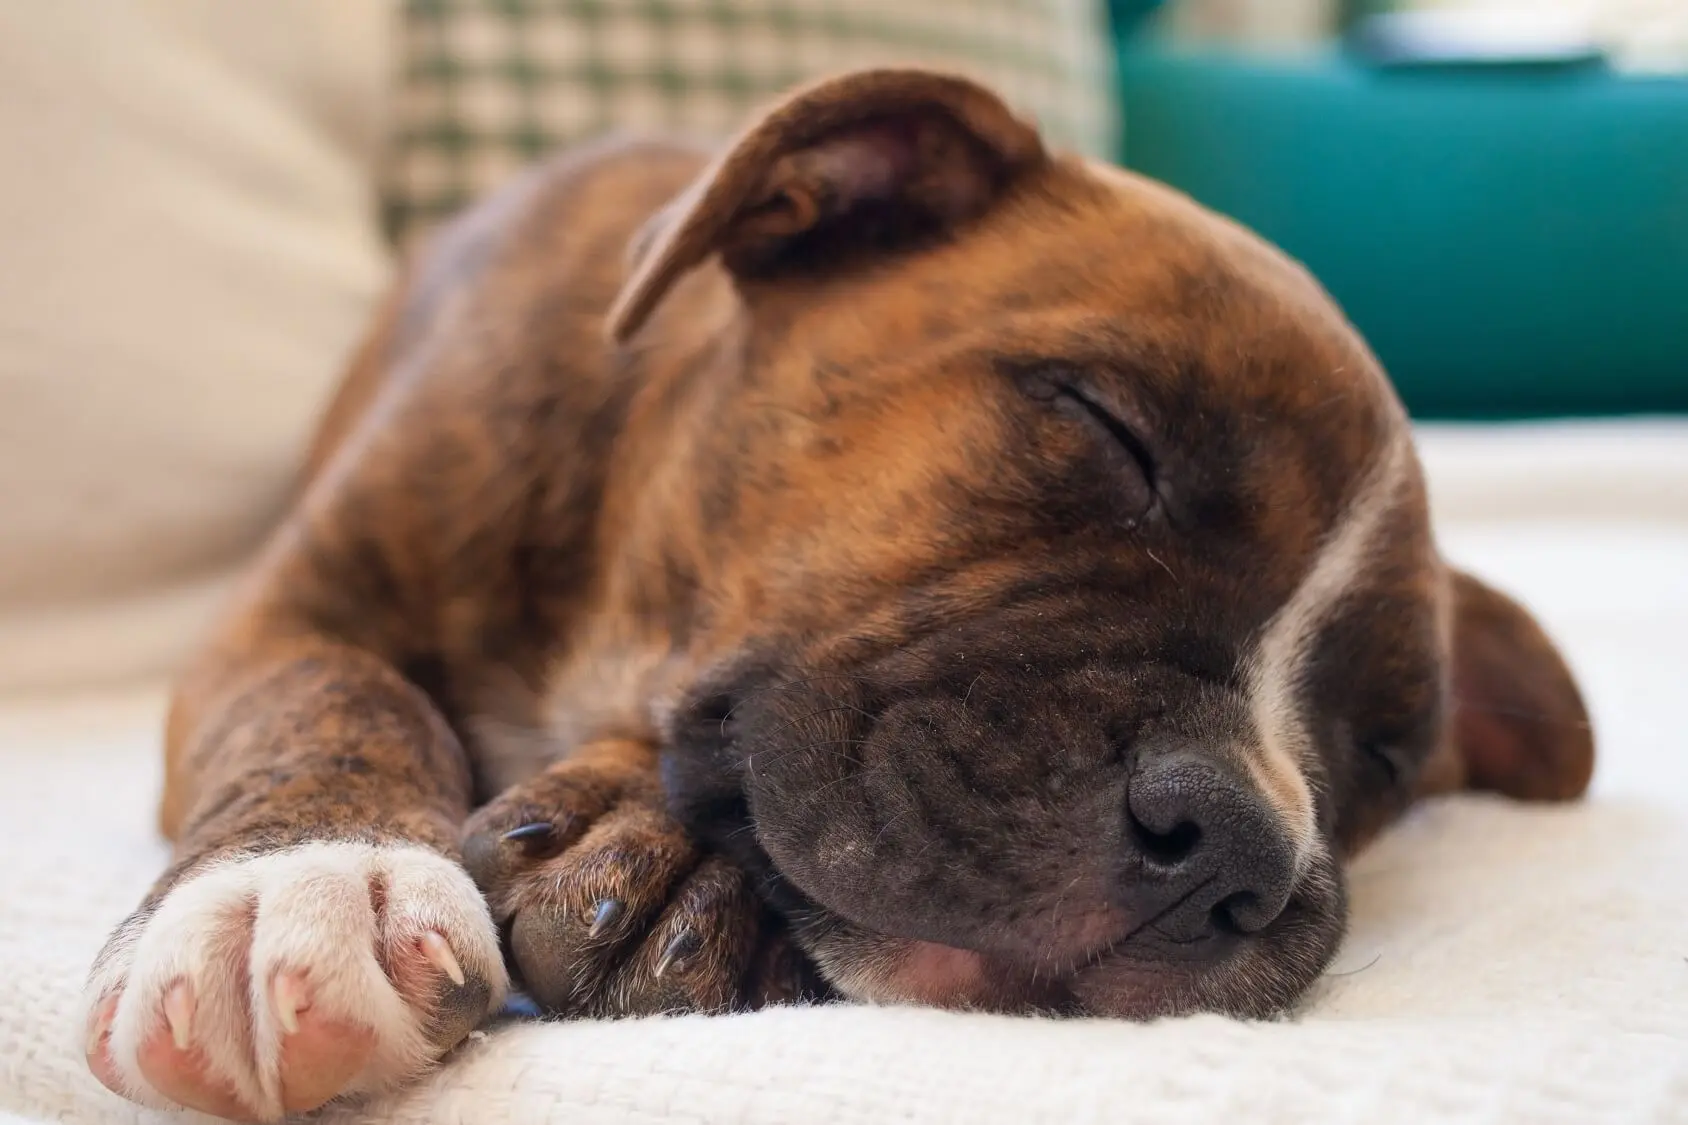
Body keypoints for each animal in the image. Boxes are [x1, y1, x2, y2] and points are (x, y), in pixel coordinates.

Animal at [79, 72, 1586, 1121]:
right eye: (1107, 427)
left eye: (1381, 759)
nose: (1237, 850)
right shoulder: (290, 613)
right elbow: (328, 704)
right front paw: (298, 891)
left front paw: (664, 849)